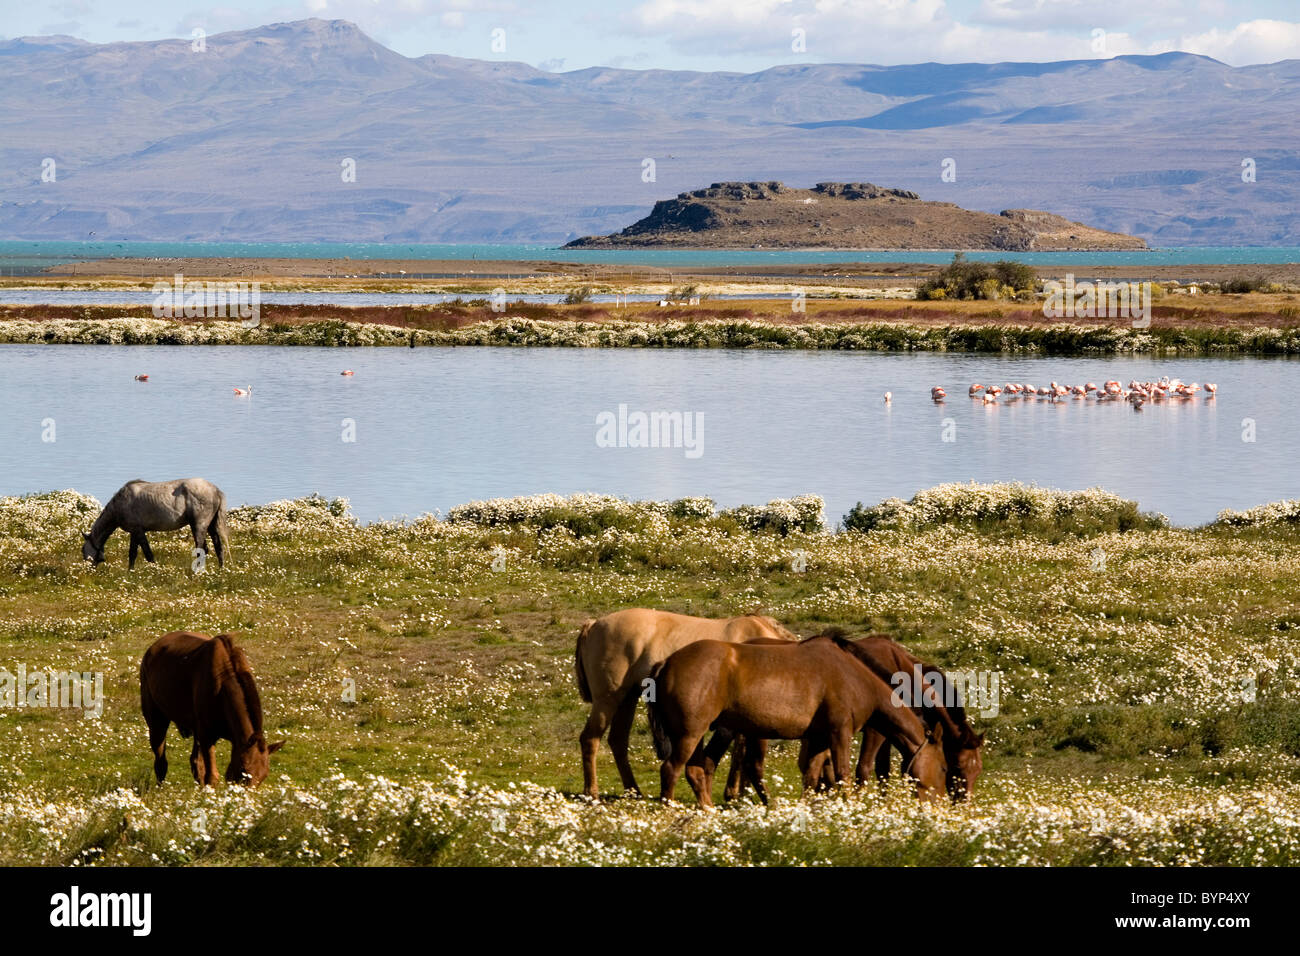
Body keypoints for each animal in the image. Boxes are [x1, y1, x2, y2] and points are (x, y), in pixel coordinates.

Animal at [81, 478, 231, 567]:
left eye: (83, 550)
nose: (89, 571)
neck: (120, 504)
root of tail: (215, 490)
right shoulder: (134, 532)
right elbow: (132, 554)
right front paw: (130, 573)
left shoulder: (139, 531)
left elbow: (147, 554)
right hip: (211, 526)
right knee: (218, 547)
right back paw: (220, 570)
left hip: (198, 526)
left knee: (201, 549)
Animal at [139, 634, 282, 785]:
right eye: (243, 771)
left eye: (264, 776)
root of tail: (151, 650)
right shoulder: (207, 736)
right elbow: (211, 776)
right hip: (157, 721)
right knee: (161, 763)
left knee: (194, 762)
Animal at [574, 608, 795, 796]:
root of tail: (593, 624)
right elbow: (739, 753)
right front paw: (736, 793)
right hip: (607, 700)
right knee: (590, 739)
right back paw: (591, 792)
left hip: (627, 698)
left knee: (618, 741)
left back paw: (634, 791)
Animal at [647, 634, 946, 806]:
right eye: (944, 769)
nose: (940, 803)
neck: (857, 678)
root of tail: (666, 662)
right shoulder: (840, 733)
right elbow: (843, 775)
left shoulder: (819, 738)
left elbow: (811, 777)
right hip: (688, 734)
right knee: (671, 770)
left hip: (697, 735)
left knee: (696, 771)